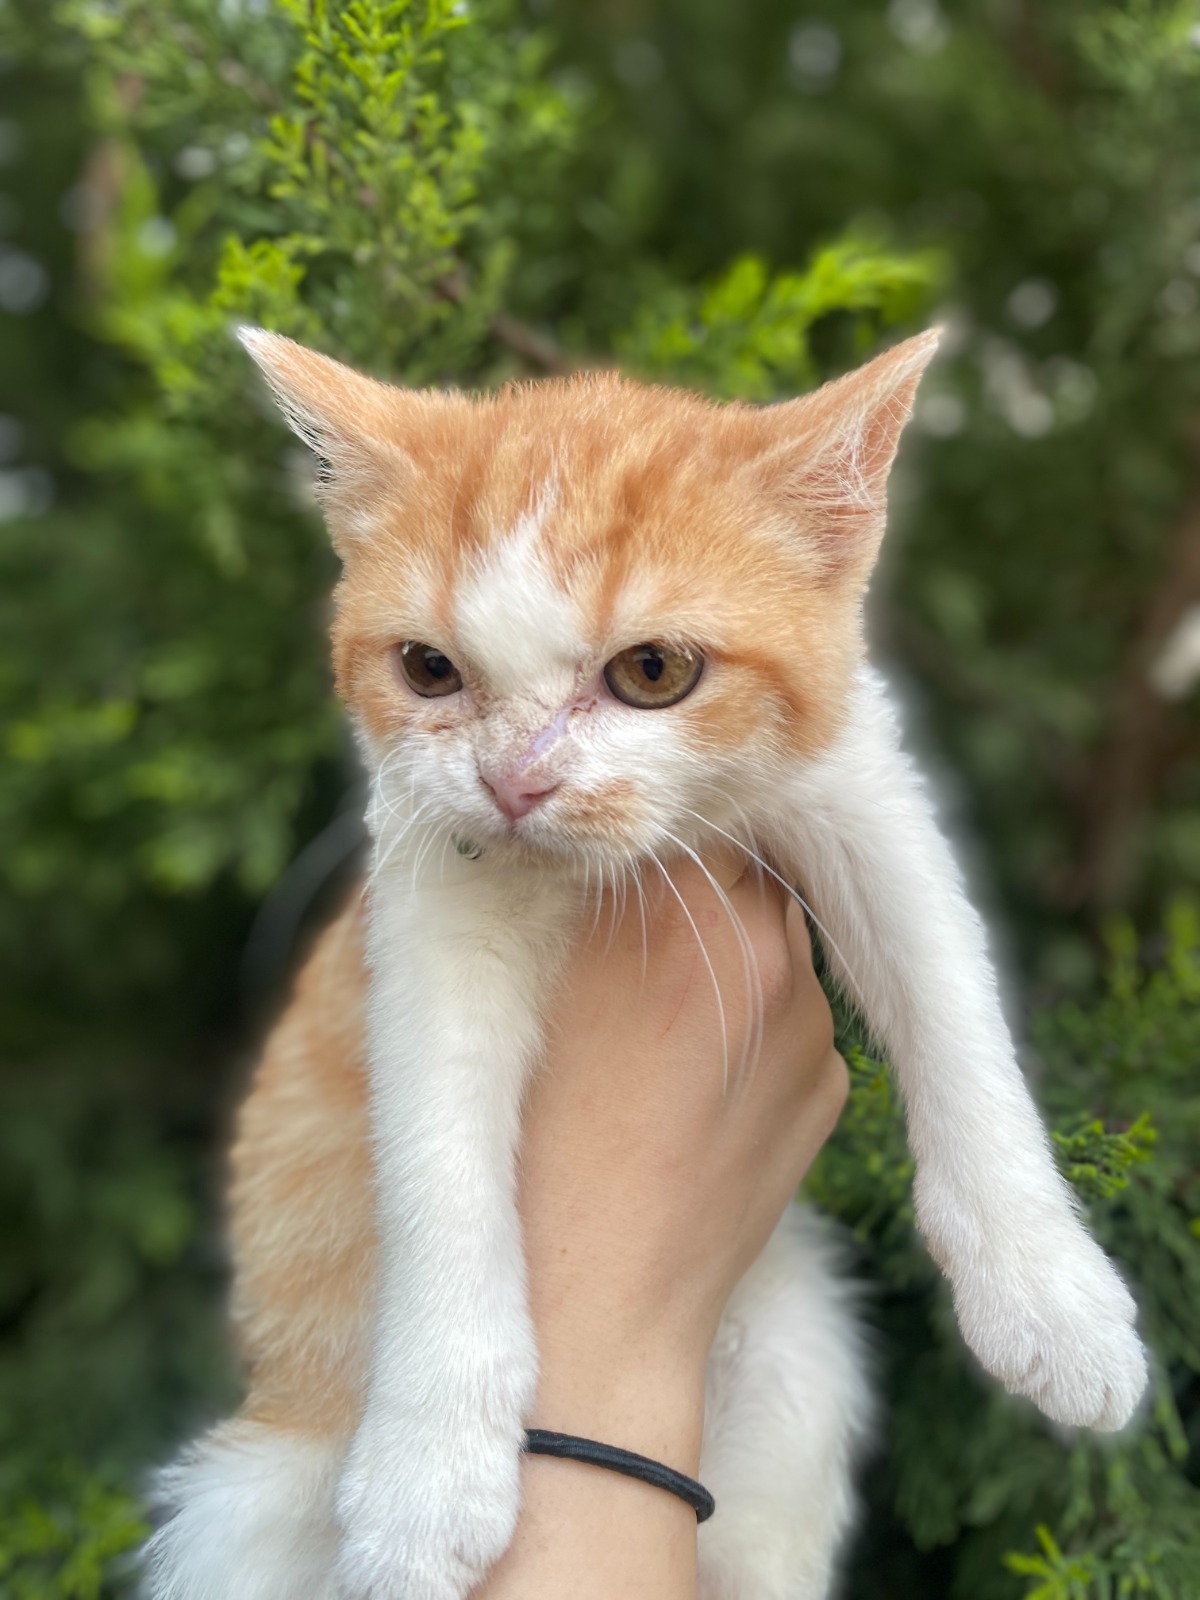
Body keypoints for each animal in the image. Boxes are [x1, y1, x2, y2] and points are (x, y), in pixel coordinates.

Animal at [145, 328, 1152, 1600]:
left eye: (655, 671)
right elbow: (435, 1153)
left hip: (795, 1367)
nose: (514, 781)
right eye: (427, 668)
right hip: (246, 1505)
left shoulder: (861, 789)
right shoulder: (421, 905)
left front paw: (1052, 1293)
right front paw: (429, 1468)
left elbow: (950, 990)